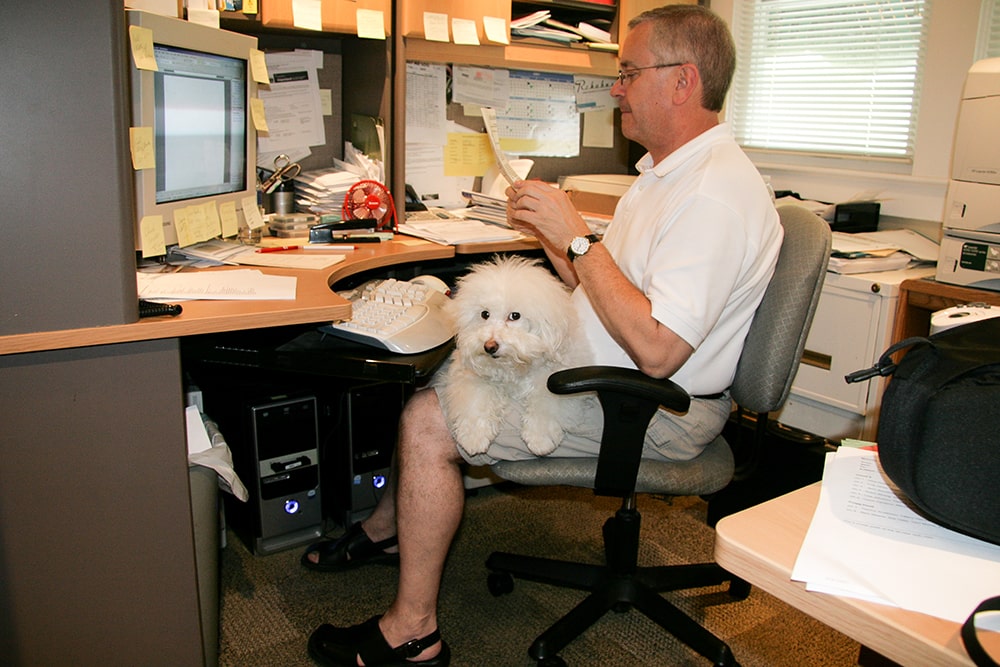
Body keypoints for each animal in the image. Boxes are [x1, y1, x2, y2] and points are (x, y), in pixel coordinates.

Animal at [434, 256, 588, 460]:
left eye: (515, 316)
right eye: (485, 314)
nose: (489, 346)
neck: (513, 367)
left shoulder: (555, 379)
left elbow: (546, 403)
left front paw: (540, 438)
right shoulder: (471, 378)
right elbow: (476, 400)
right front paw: (474, 436)